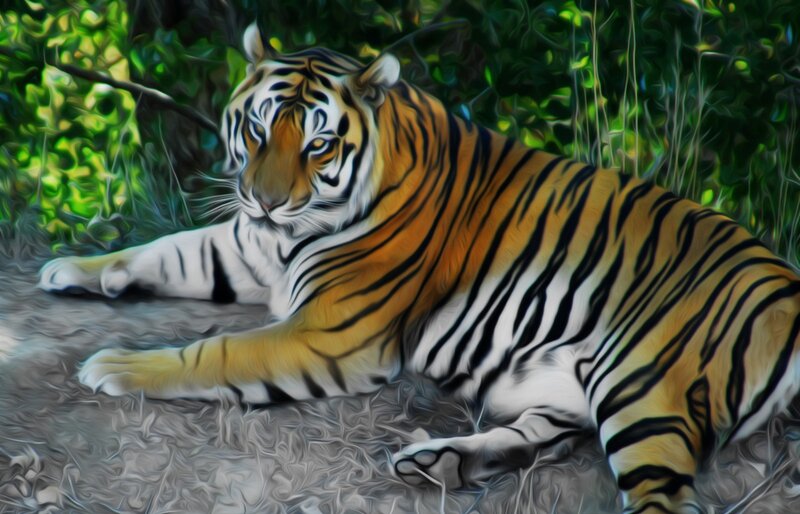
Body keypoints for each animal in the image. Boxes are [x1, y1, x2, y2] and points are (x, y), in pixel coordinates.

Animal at [38, 23, 800, 514]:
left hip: (642, 389)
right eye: (256, 129)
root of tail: (788, 287)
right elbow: (166, 248)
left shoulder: (329, 332)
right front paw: (72, 267)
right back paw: (440, 462)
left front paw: (116, 366)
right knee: (544, 438)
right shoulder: (247, 246)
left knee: (665, 499)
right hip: (575, 388)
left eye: (317, 144)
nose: (267, 198)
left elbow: (215, 352)